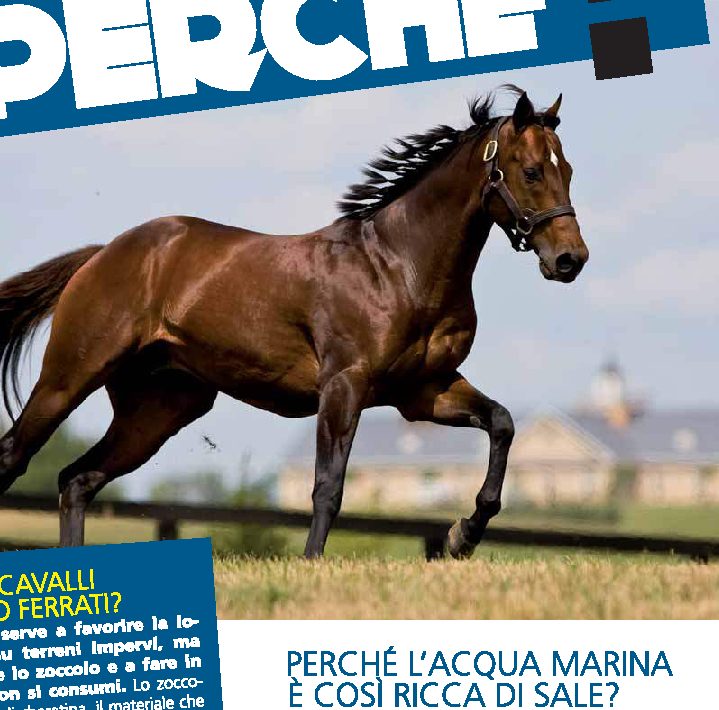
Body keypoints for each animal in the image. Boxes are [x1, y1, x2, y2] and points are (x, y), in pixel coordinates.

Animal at [0, 86, 588, 558]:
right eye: (532, 171)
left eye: (568, 170)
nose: (570, 260)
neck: (398, 266)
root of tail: (101, 256)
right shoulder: (345, 385)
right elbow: (328, 485)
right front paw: (311, 562)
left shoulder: (424, 391)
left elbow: (502, 423)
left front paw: (462, 535)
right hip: (69, 378)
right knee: (16, 456)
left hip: (161, 408)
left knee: (77, 479)